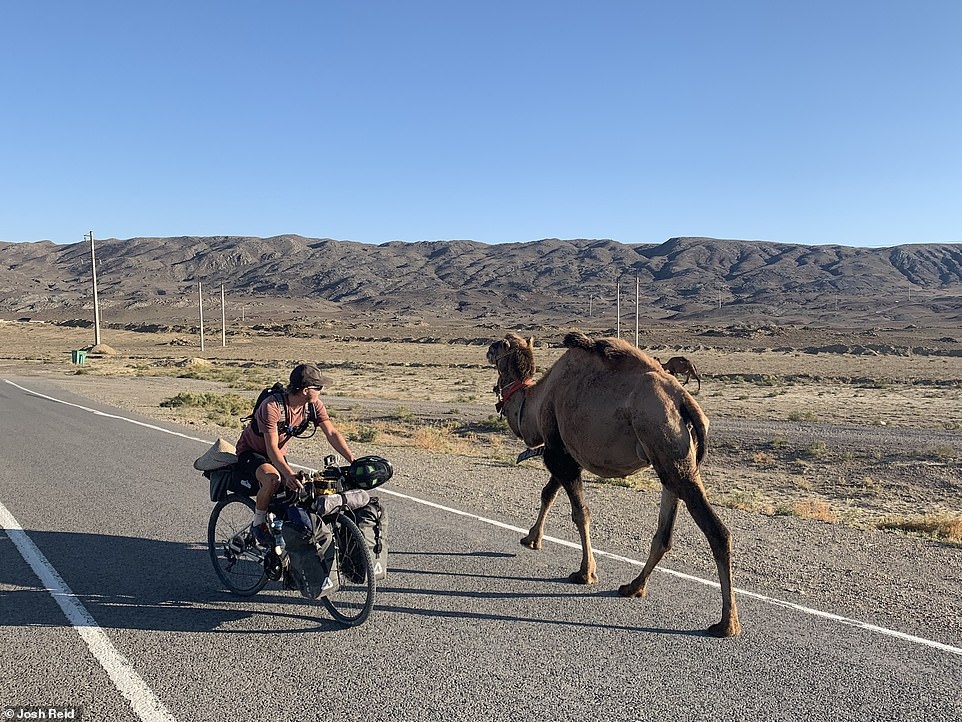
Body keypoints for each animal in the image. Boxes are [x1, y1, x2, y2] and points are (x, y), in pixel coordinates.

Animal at [488, 332, 744, 636]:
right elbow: (548, 493)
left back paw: (727, 623)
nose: (488, 350)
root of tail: (684, 401)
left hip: (666, 444)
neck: (535, 402)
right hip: (673, 457)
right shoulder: (564, 452)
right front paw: (531, 539)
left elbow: (580, 513)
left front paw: (585, 572)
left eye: (498, 346)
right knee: (664, 534)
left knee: (718, 532)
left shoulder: (558, 452)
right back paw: (633, 587)